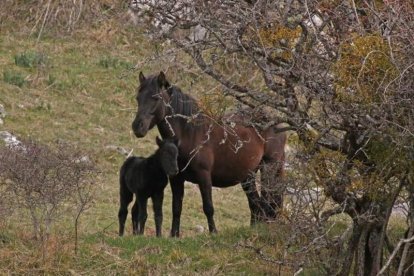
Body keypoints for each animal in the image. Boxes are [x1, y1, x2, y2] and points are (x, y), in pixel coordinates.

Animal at [131, 71, 286, 237]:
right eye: (138, 98)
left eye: (155, 98)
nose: (137, 127)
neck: (189, 133)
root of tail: (277, 124)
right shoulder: (176, 178)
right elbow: (176, 208)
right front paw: (174, 235)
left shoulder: (204, 176)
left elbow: (208, 207)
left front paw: (213, 233)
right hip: (248, 176)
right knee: (256, 204)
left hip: (268, 168)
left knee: (266, 202)